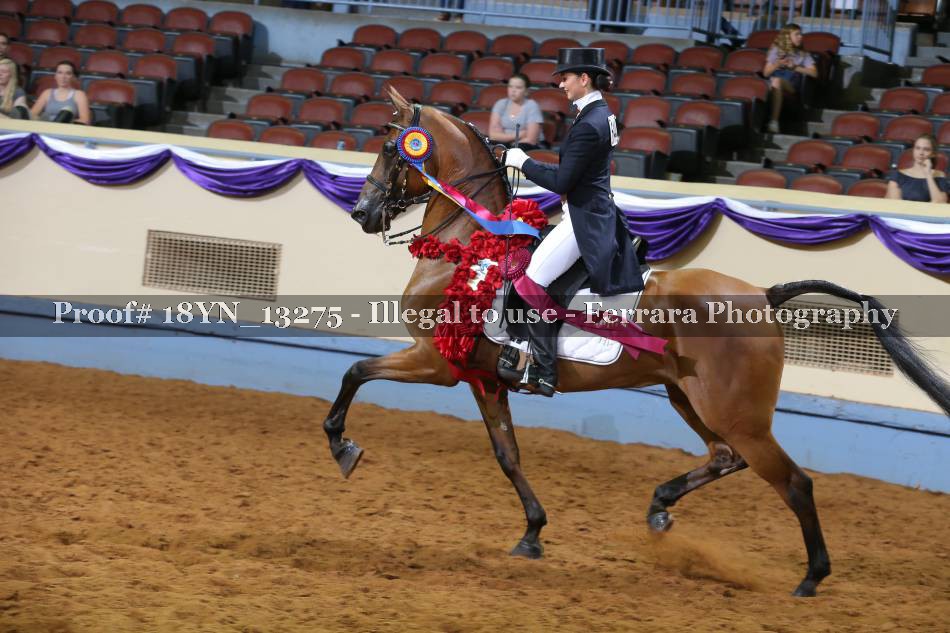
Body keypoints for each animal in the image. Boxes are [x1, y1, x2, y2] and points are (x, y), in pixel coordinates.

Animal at [326, 89, 950, 597]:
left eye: (391, 148)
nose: (361, 213)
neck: (470, 242)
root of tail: (764, 294)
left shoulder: (436, 362)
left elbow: (355, 371)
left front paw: (343, 447)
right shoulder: (483, 377)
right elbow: (507, 456)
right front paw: (532, 533)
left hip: (736, 412)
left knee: (793, 482)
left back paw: (811, 578)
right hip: (690, 398)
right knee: (725, 457)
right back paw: (659, 509)